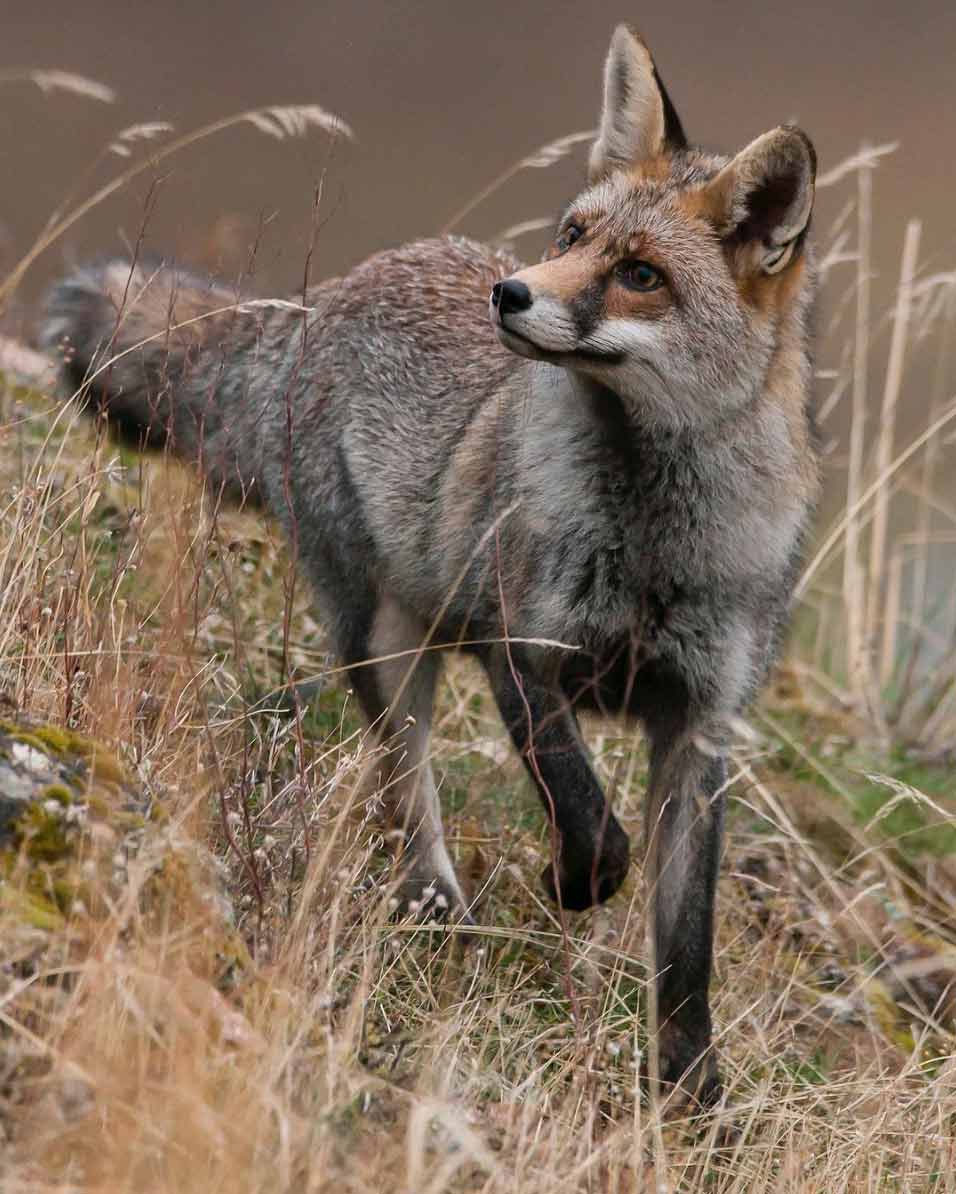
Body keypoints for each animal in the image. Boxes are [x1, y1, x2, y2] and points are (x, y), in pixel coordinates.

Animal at [41, 25, 819, 1106]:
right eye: (570, 235)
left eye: (639, 274)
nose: (512, 291)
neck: (651, 547)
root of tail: (323, 300)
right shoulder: (519, 648)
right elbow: (587, 814)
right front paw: (574, 885)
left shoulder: (700, 730)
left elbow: (685, 947)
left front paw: (692, 1094)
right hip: (383, 636)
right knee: (404, 786)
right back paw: (434, 903)